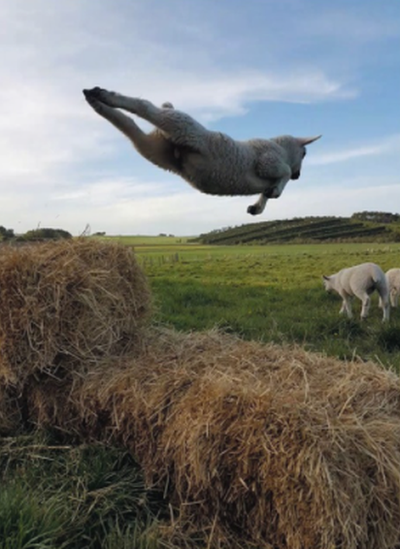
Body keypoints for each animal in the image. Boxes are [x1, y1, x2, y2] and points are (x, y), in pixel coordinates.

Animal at [83, 86, 322, 215]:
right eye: (305, 154)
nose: (298, 176)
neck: (281, 148)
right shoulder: (267, 163)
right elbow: (283, 174)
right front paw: (276, 191)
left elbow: (267, 192)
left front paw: (257, 207)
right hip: (184, 126)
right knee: (145, 107)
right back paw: (104, 95)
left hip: (152, 148)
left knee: (127, 124)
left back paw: (96, 101)